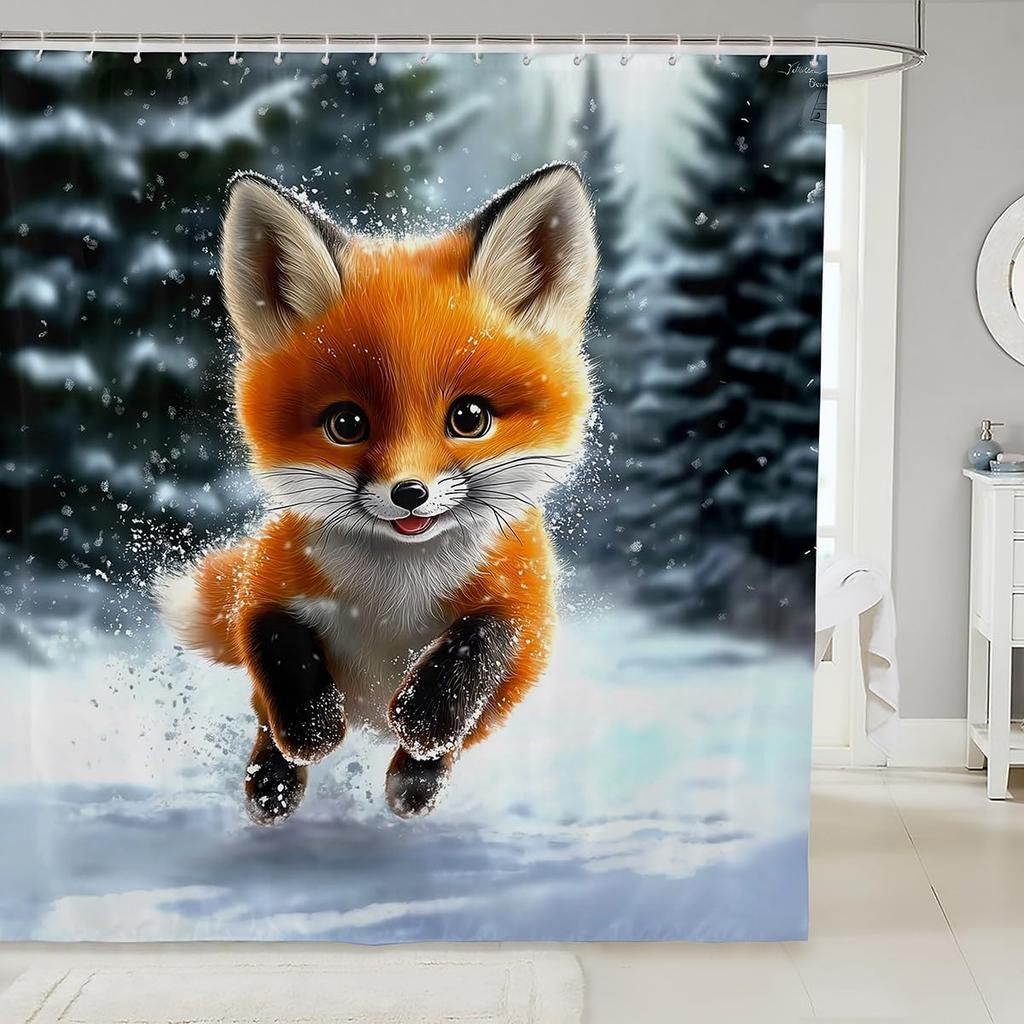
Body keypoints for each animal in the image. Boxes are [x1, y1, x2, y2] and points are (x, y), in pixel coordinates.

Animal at [156, 162, 598, 824]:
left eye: (469, 418)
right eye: (346, 424)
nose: (408, 493)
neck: (394, 589)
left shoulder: (527, 606)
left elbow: (485, 641)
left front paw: (422, 718)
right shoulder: (267, 583)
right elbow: (276, 641)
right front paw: (312, 731)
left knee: (452, 742)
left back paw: (414, 781)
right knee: (266, 723)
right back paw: (272, 786)